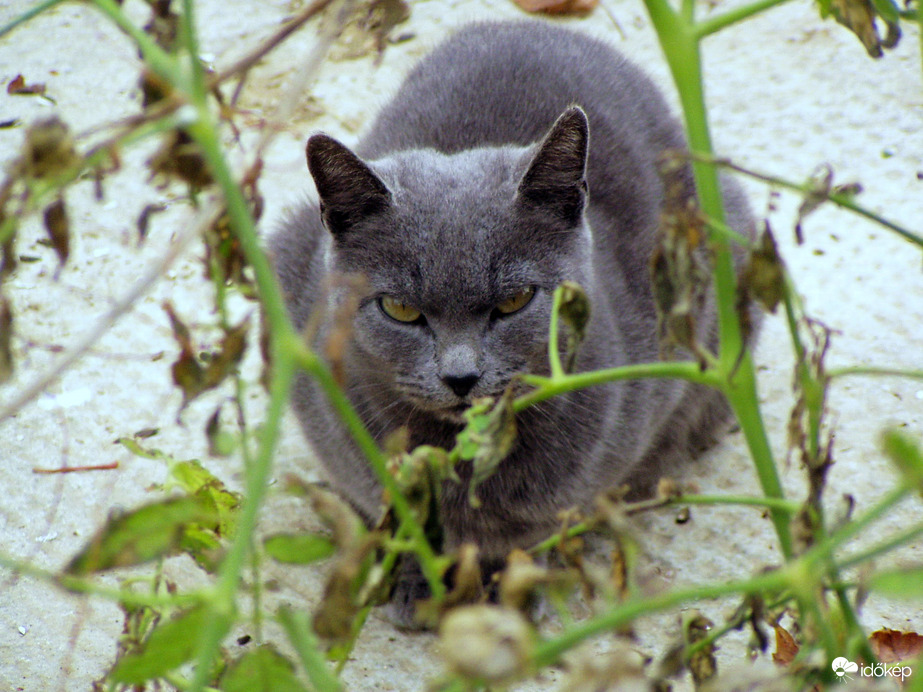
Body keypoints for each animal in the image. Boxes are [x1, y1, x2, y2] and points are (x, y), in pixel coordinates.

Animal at [268, 21, 756, 620]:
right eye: (400, 309)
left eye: (515, 301)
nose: (461, 377)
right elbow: (399, 511)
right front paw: (418, 577)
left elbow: (537, 525)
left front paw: (512, 586)